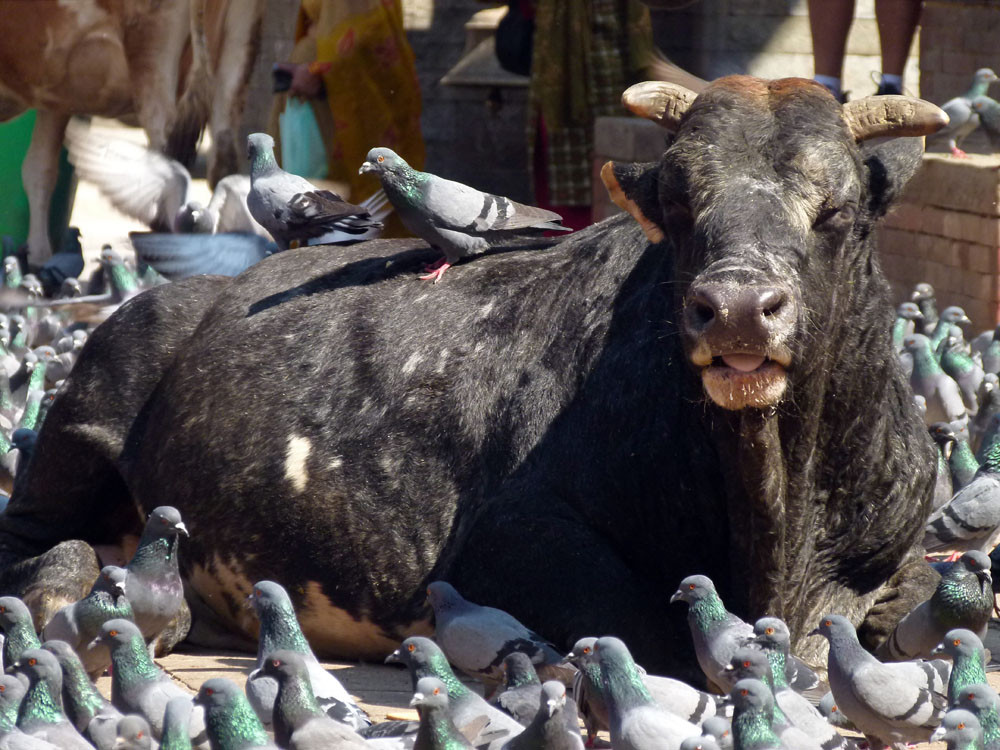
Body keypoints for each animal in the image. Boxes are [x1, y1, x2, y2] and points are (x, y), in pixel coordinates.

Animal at [0, 0, 266, 268]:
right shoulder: (54, 95)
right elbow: (39, 170)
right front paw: (39, 256)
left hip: (153, 42)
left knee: (167, 156)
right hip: (237, 42)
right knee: (223, 159)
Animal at [0, 79, 948, 680]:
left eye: (838, 212)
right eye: (680, 205)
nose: (739, 309)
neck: (773, 501)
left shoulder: (893, 548)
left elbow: (910, 605)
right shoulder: (514, 537)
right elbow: (652, 634)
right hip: (86, 418)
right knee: (38, 543)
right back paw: (65, 589)